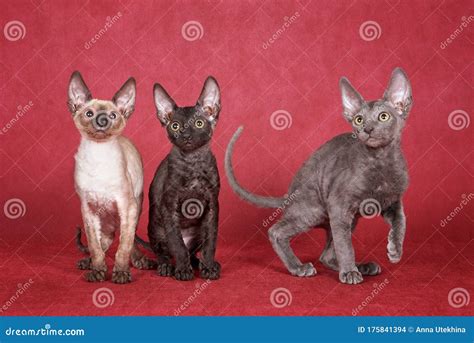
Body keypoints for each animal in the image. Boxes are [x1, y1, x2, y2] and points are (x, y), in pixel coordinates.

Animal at [139, 76, 222, 280]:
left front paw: (209, 267)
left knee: (192, 251)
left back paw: (201, 264)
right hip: (156, 229)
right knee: (165, 252)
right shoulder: (169, 207)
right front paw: (183, 270)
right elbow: (177, 244)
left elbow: (211, 243)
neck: (193, 162)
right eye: (175, 125)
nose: (185, 134)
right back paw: (167, 266)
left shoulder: (212, 206)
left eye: (199, 123)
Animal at [225, 67, 412, 284]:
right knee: (277, 232)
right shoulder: (339, 204)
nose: (367, 129)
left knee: (327, 255)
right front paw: (349, 272)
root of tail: (289, 194)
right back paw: (300, 268)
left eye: (383, 116)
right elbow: (345, 247)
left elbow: (401, 222)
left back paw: (363, 266)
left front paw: (395, 250)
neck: (381, 161)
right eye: (359, 119)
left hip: (344, 218)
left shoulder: (392, 202)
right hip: (315, 210)